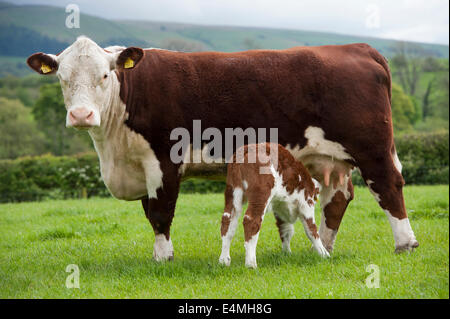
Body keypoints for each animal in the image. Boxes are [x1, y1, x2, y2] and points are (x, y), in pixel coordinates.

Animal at [27, 36, 418, 262]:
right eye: (61, 78)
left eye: (105, 76)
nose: (81, 115)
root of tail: (357, 48)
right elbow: (150, 212)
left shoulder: (164, 160)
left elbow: (160, 212)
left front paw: (164, 258)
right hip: (329, 157)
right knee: (338, 197)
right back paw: (324, 245)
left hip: (373, 148)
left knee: (388, 186)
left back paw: (405, 243)